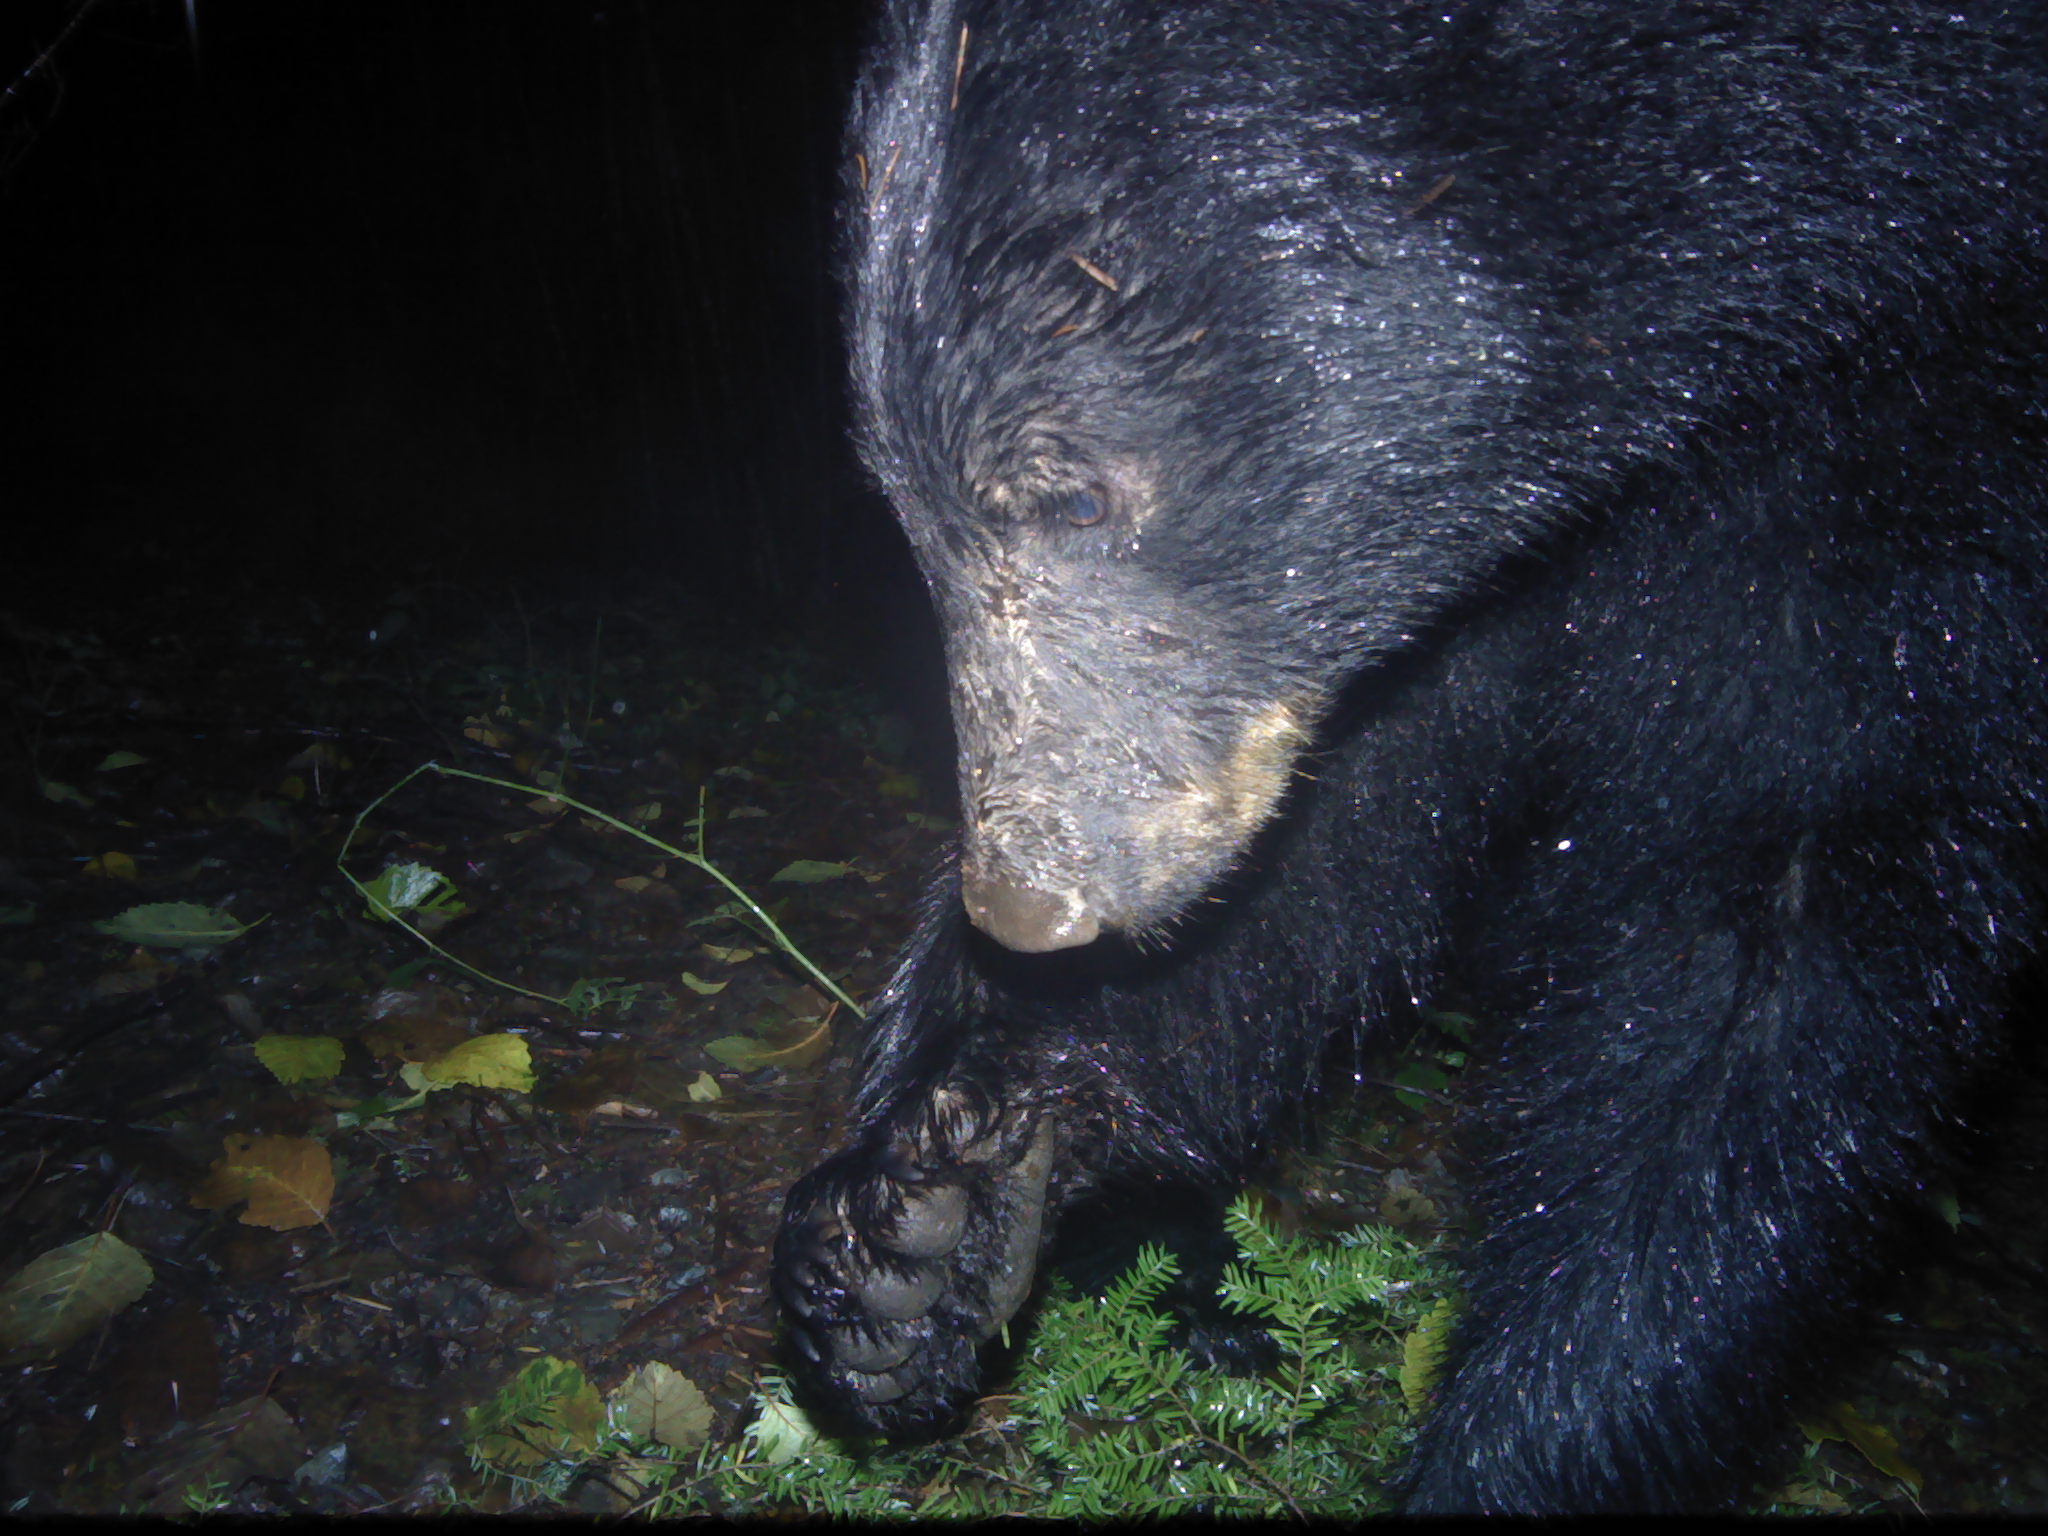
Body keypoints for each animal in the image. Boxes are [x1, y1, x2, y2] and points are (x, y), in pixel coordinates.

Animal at [774, 0, 2048, 1512]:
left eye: (1070, 494)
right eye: (896, 509)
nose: (1025, 908)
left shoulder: (1913, 470)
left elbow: (1769, 926)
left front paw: (1533, 1438)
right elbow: (1327, 850)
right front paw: (927, 1222)